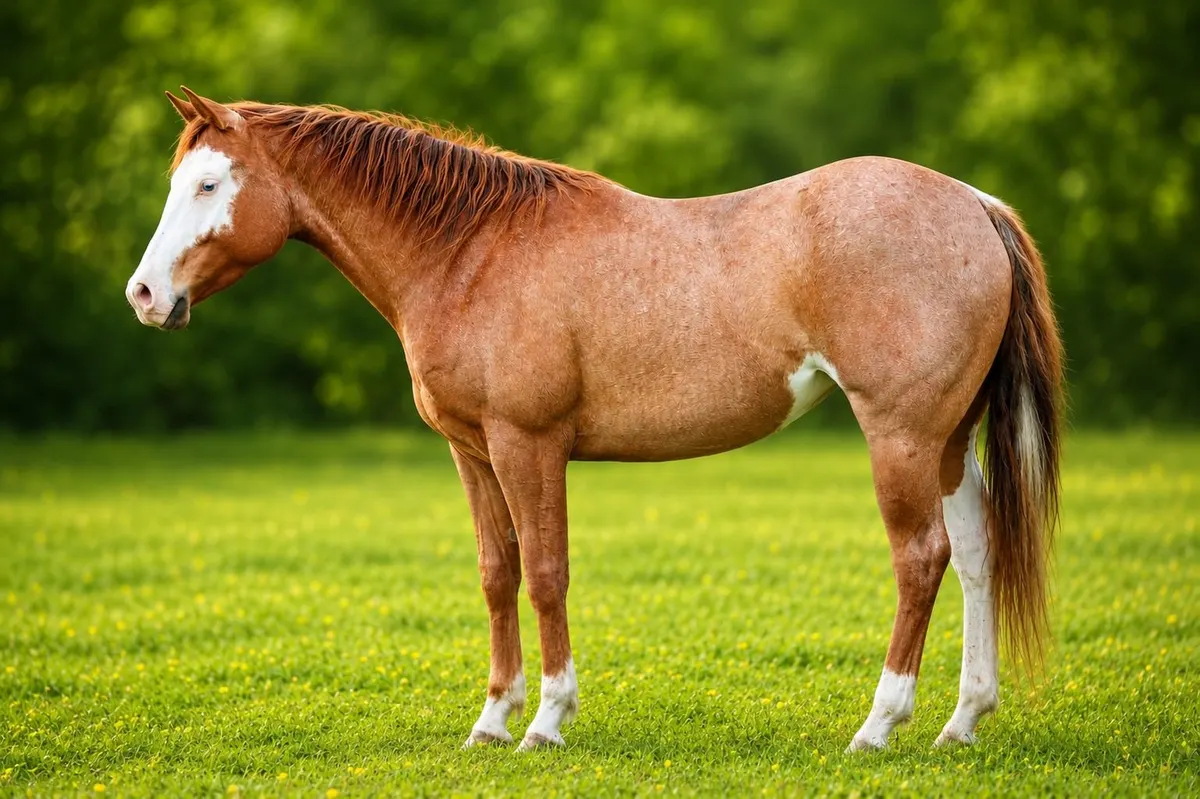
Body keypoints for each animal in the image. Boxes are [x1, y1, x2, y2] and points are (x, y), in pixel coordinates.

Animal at [126, 88, 1062, 752]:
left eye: (210, 183)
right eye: (177, 182)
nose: (144, 295)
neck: (471, 251)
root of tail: (973, 203)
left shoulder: (528, 444)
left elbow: (546, 573)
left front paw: (546, 720)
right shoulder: (473, 452)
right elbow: (497, 573)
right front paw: (491, 719)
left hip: (900, 434)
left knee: (921, 558)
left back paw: (879, 725)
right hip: (946, 441)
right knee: (975, 553)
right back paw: (960, 721)